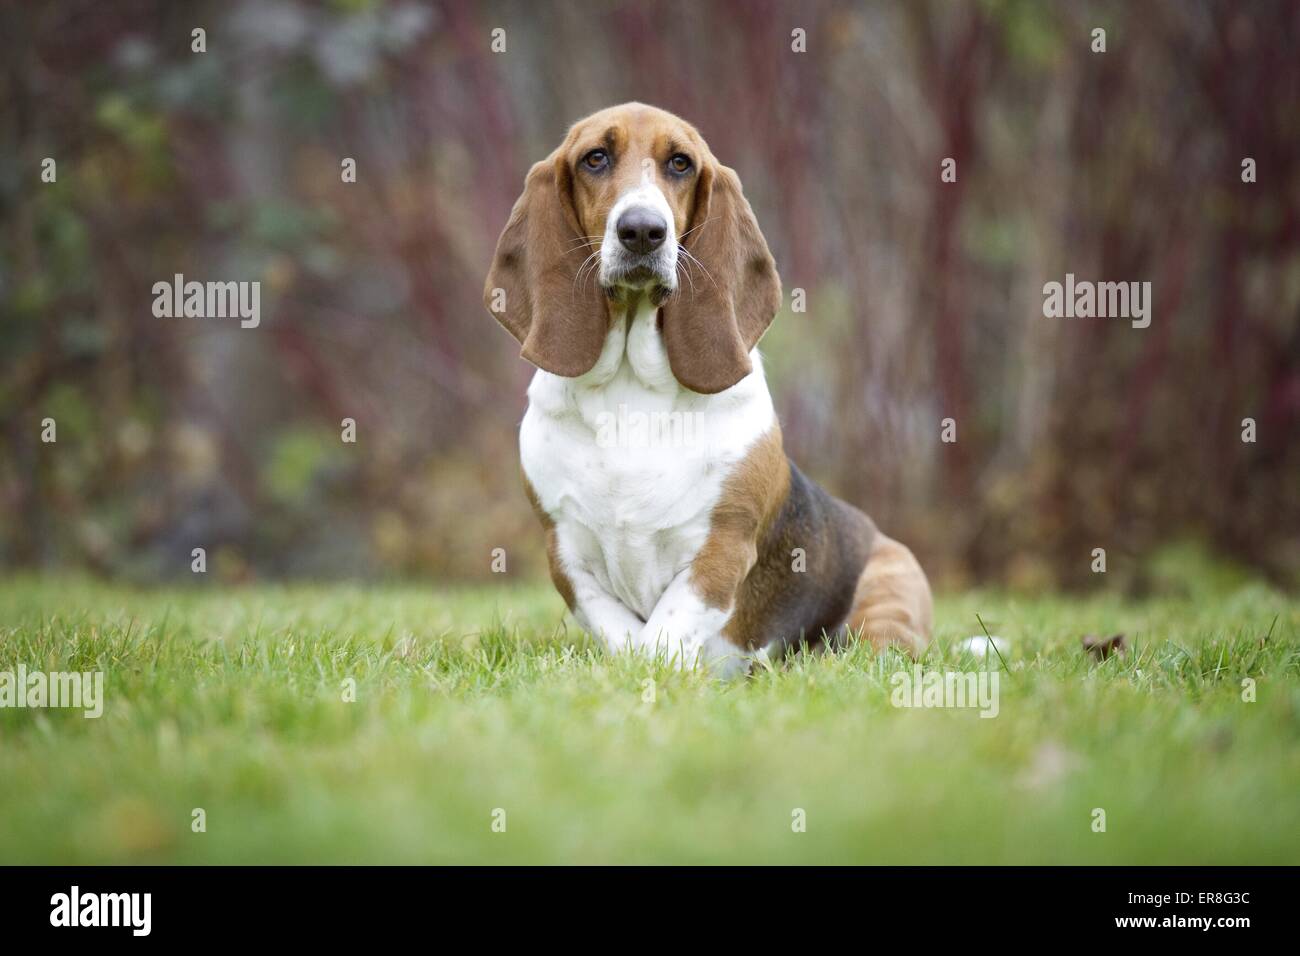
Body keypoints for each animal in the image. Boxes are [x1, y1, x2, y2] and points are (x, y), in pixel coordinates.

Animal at [483, 102, 930, 671]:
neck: (631, 393)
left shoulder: (719, 551)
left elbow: (662, 635)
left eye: (681, 163)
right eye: (595, 158)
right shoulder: (567, 557)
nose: (643, 231)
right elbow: (626, 637)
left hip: (884, 607)